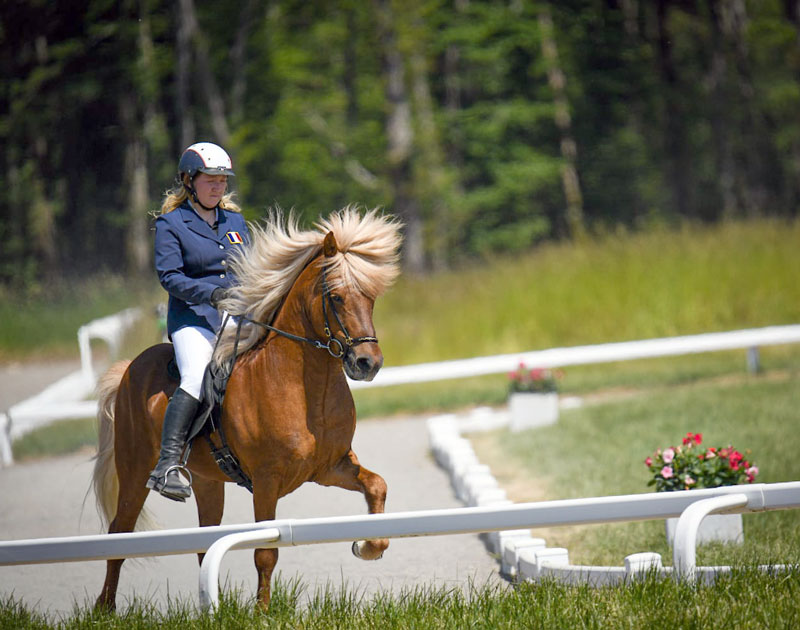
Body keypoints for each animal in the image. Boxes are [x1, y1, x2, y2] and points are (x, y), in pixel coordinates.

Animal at [93, 209, 404, 612]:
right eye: (335, 297)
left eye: (370, 297)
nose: (368, 363)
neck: (307, 391)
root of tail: (130, 367)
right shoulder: (267, 481)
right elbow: (265, 553)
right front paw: (263, 612)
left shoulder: (329, 467)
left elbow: (377, 485)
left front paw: (366, 547)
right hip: (134, 469)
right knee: (120, 532)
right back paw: (105, 608)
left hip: (207, 480)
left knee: (203, 541)